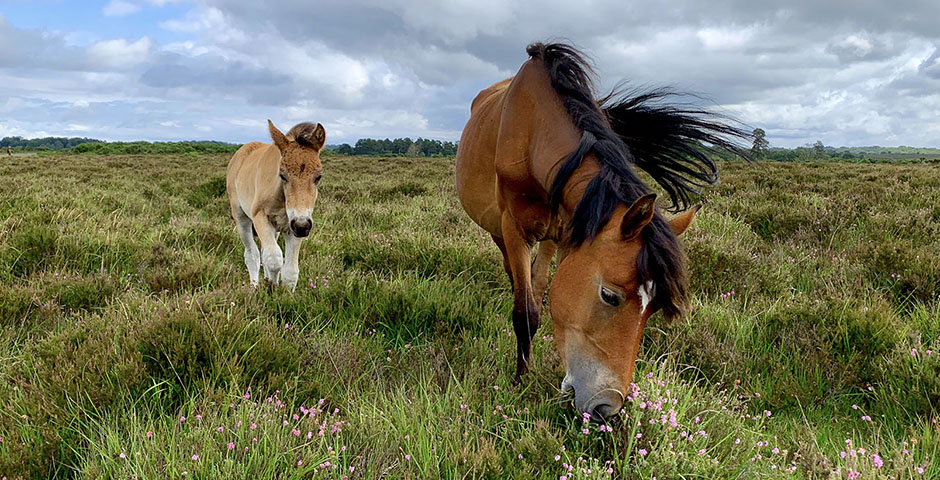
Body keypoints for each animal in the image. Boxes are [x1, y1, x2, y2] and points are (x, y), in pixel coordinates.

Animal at [227, 122, 326, 290]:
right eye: (282, 175)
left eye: (318, 177)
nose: (302, 225)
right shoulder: (260, 217)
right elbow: (273, 259)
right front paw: (271, 288)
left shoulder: (292, 227)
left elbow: (290, 272)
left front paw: (283, 293)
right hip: (241, 217)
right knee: (252, 254)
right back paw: (254, 287)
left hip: (277, 228)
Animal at [456, 43, 748, 422]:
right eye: (609, 295)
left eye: (654, 308)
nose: (607, 407)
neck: (534, 131)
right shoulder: (514, 228)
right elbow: (524, 314)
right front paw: (521, 381)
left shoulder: (569, 234)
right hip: (498, 229)